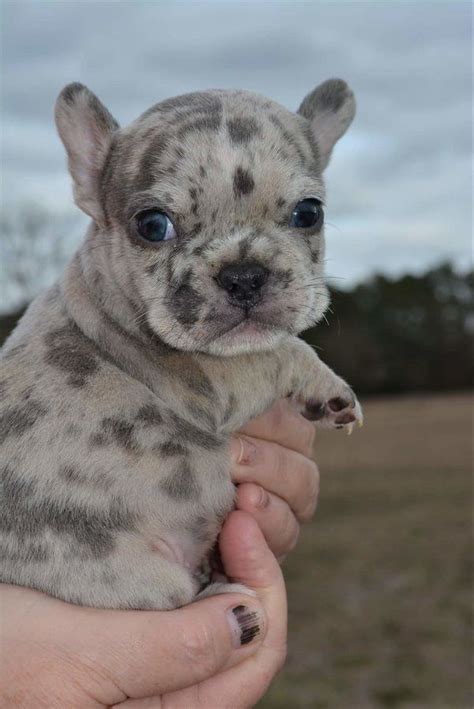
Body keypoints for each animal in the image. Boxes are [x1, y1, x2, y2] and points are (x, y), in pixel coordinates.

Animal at [0, 79, 362, 608]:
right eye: (153, 225)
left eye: (308, 213)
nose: (244, 276)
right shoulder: (213, 381)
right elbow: (282, 350)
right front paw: (328, 386)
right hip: (134, 578)